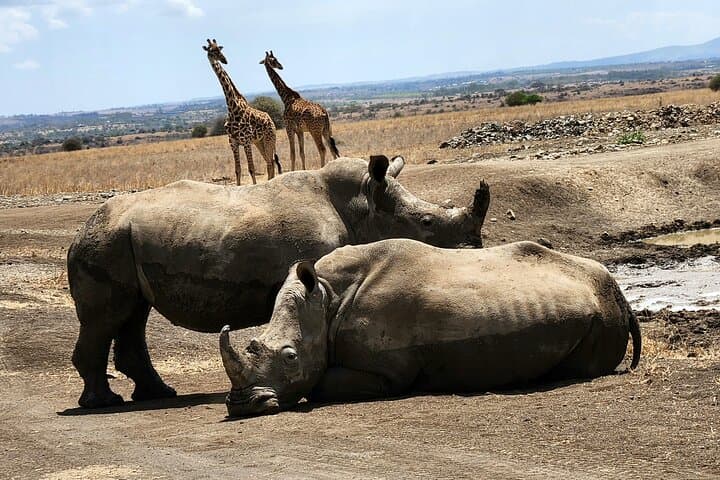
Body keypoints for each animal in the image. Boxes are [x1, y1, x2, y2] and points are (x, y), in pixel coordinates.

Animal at [204, 39, 282, 185]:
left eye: (219, 49)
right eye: (211, 50)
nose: (224, 60)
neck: (232, 108)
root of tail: (270, 120)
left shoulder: (245, 141)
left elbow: (251, 168)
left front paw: (255, 186)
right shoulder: (233, 143)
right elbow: (238, 170)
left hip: (269, 139)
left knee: (271, 161)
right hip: (259, 142)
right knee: (269, 162)